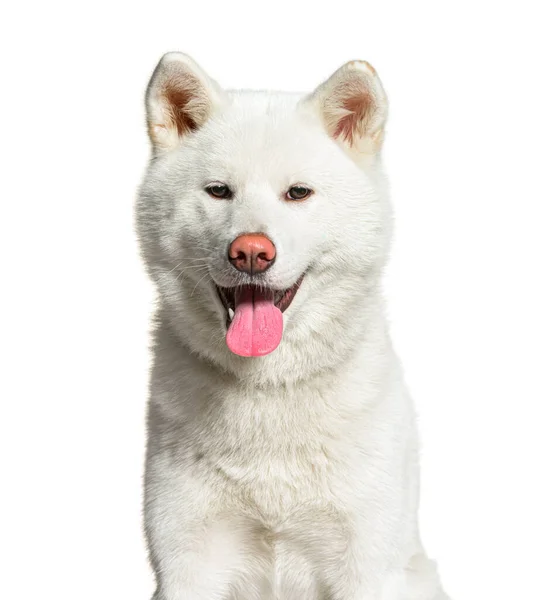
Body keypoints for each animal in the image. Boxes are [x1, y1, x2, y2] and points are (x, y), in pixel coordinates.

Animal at [137, 51, 450, 600]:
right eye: (218, 191)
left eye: (298, 193)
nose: (251, 252)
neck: (268, 388)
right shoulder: (188, 562)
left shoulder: (366, 566)